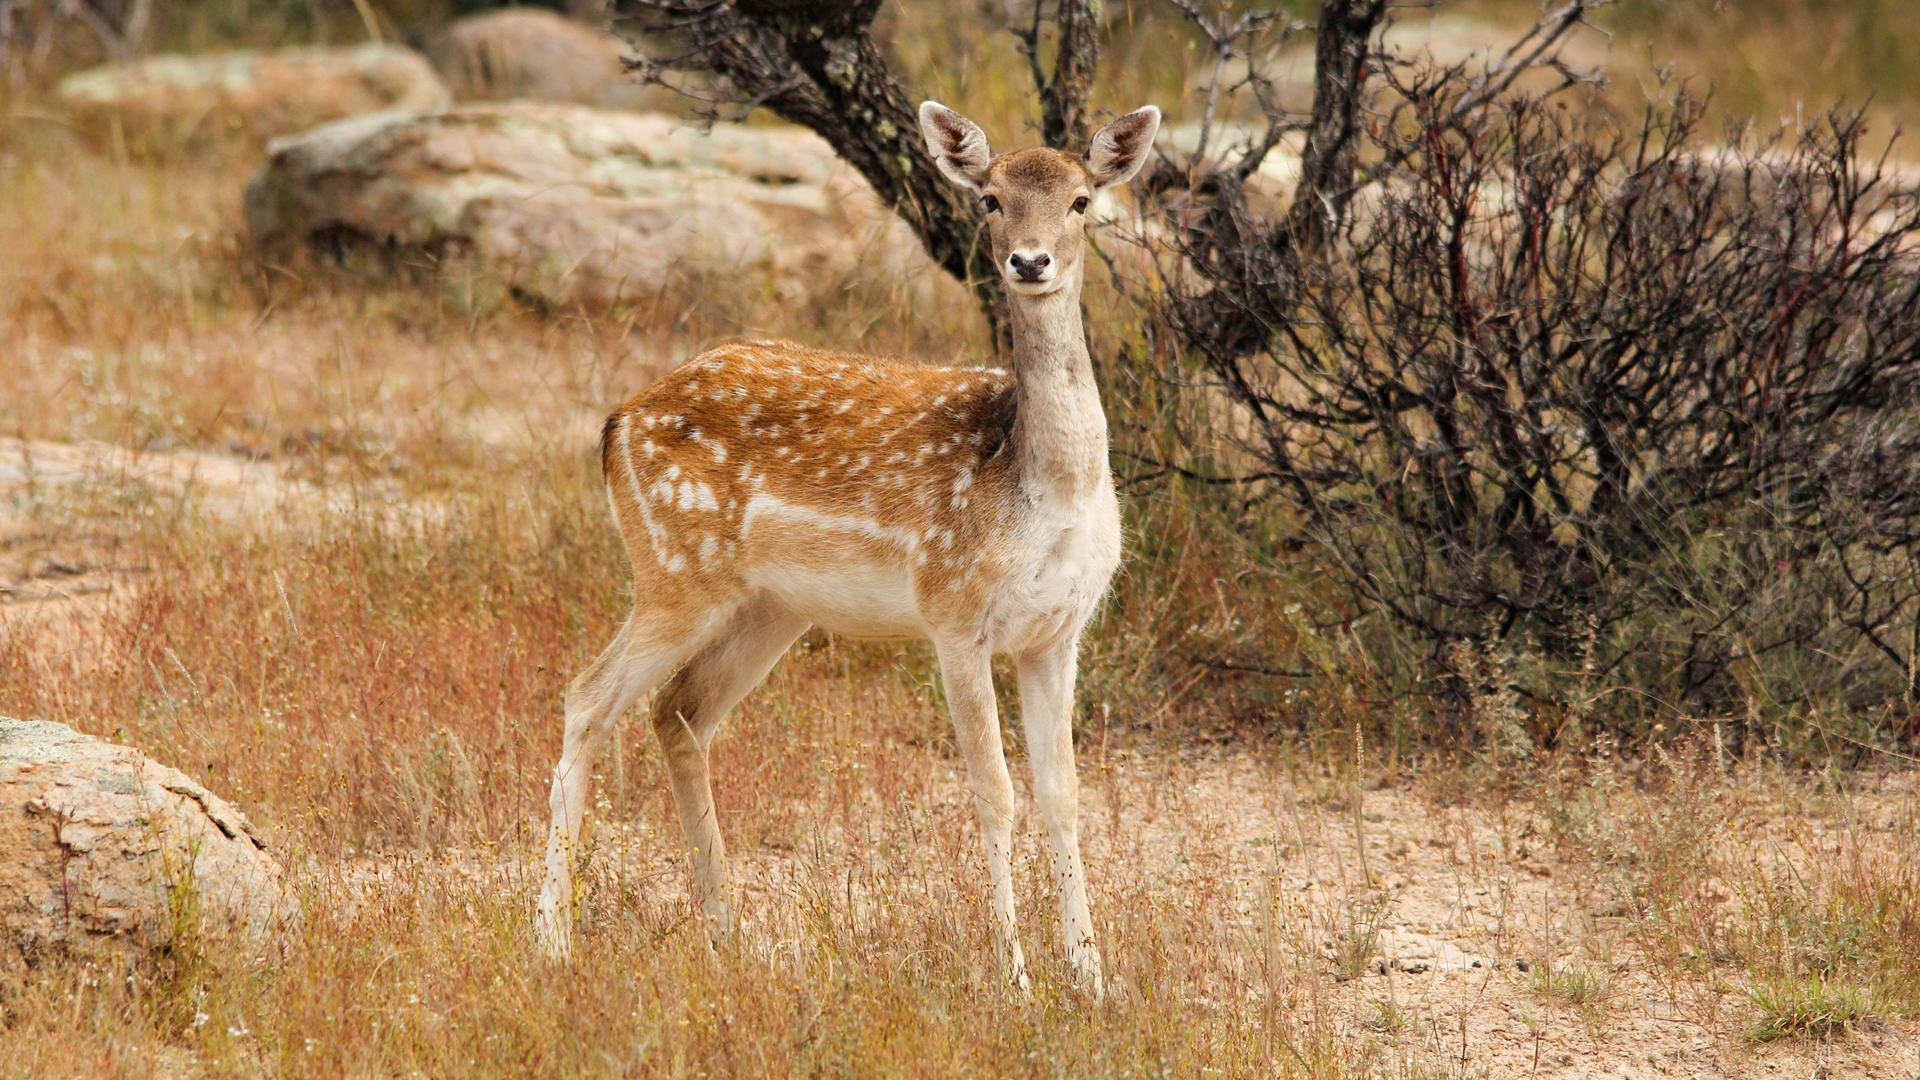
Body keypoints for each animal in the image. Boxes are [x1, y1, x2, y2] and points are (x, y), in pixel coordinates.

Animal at [529, 98, 1152, 991]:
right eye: (990, 198)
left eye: (1081, 201)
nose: (1030, 262)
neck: (1040, 490)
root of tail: (616, 422)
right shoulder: (953, 611)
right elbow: (993, 791)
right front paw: (1016, 981)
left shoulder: (1057, 631)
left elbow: (1064, 796)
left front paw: (1094, 982)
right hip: (673, 570)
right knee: (586, 696)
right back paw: (551, 939)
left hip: (770, 607)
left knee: (679, 709)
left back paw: (728, 931)